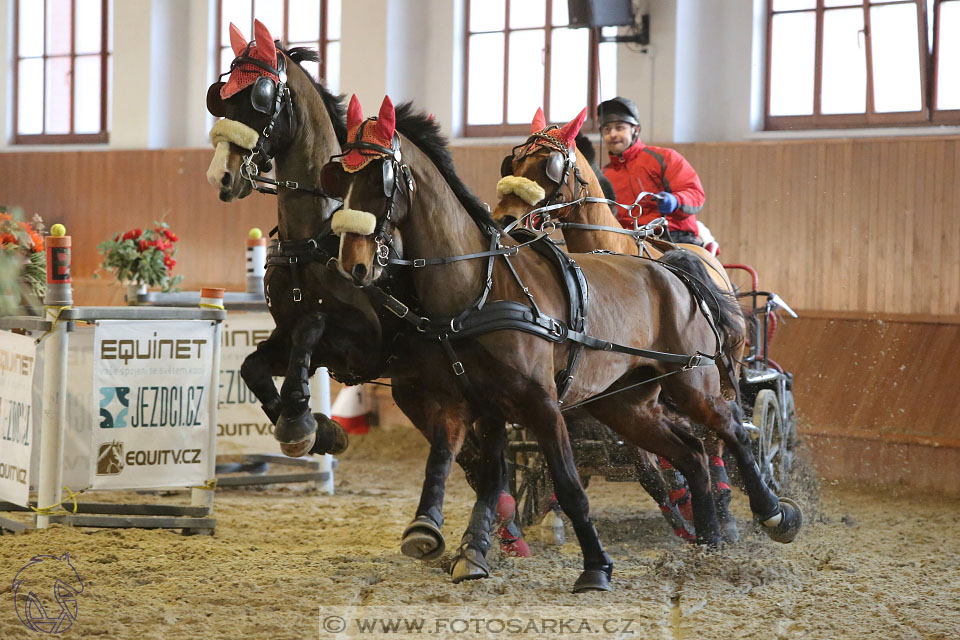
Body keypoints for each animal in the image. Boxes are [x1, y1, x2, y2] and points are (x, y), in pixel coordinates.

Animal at [204, 22, 532, 556]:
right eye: (220, 98)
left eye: (260, 97)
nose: (222, 176)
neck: (314, 233)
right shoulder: (288, 334)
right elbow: (254, 368)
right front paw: (318, 432)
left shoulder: (360, 343)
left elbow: (312, 330)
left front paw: (301, 422)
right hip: (415, 390)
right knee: (472, 453)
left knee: (492, 452)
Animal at [322, 96, 804, 596]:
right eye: (337, 176)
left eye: (381, 179)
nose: (352, 263)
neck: (479, 286)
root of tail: (675, 269)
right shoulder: (473, 404)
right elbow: (467, 470)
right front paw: (448, 540)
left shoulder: (543, 403)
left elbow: (568, 483)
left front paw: (596, 566)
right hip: (625, 404)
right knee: (691, 455)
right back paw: (707, 544)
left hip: (695, 384)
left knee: (731, 433)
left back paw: (773, 515)